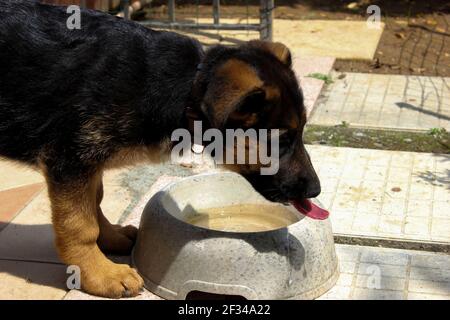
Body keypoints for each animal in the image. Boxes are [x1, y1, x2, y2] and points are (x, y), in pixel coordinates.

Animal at [1, 1, 322, 298]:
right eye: (281, 141)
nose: (316, 191)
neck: (188, 89)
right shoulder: (71, 158)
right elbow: (80, 224)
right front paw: (99, 274)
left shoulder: (88, 160)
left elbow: (94, 202)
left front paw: (110, 238)